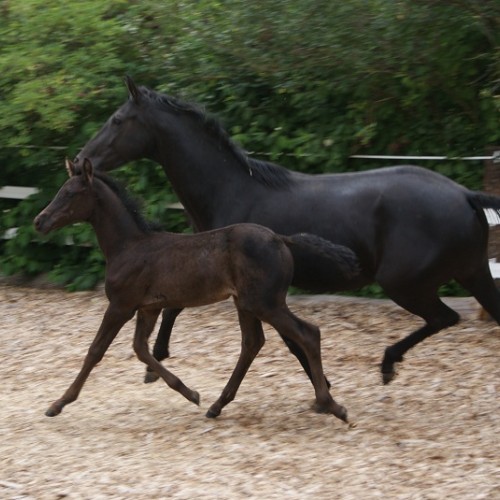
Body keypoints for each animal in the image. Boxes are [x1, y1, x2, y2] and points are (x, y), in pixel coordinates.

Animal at [33, 159, 360, 422]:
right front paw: (190, 393)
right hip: (246, 303)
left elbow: (95, 350)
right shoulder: (148, 307)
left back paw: (331, 405)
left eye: (70, 193)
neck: (129, 246)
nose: (40, 221)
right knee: (252, 343)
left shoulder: (121, 305)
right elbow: (141, 349)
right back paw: (217, 405)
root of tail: (281, 239)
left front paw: (58, 403)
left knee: (307, 334)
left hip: (265, 302)